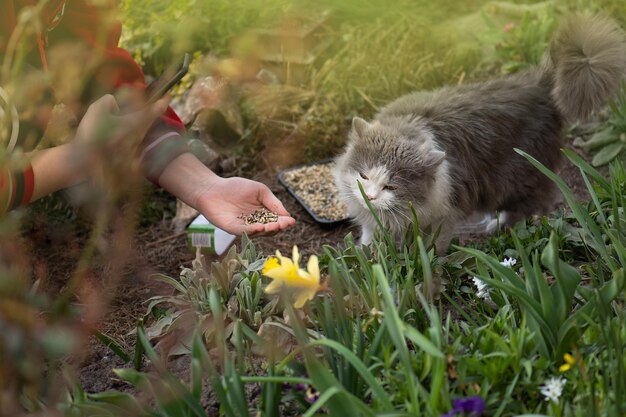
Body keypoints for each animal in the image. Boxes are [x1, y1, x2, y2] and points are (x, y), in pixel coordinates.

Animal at [334, 13, 624, 250]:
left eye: (390, 186)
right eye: (363, 175)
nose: (370, 196)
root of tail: (536, 85)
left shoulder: (445, 212)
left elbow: (432, 247)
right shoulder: (372, 219)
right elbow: (370, 235)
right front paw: (369, 256)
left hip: (518, 177)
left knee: (535, 203)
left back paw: (500, 225)